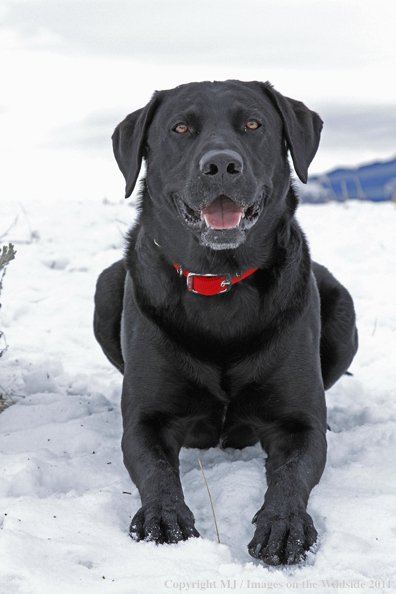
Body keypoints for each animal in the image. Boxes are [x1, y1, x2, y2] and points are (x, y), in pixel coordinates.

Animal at [93, 80, 358, 564]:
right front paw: (164, 516)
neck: (220, 283)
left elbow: (293, 474)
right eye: (180, 128)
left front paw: (284, 525)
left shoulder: (299, 424)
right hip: (106, 289)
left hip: (342, 307)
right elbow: (156, 470)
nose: (220, 165)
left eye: (252, 124)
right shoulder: (145, 420)